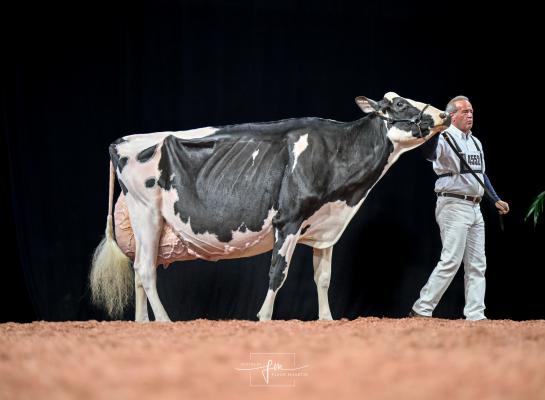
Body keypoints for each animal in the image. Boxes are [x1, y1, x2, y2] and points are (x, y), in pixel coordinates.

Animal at [91, 92, 450, 320]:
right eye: (400, 103)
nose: (444, 114)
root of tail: (122, 141)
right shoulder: (288, 220)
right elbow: (278, 273)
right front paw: (264, 317)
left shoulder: (326, 227)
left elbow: (323, 278)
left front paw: (327, 320)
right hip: (146, 211)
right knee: (145, 270)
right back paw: (164, 322)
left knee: (140, 270)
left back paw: (143, 323)